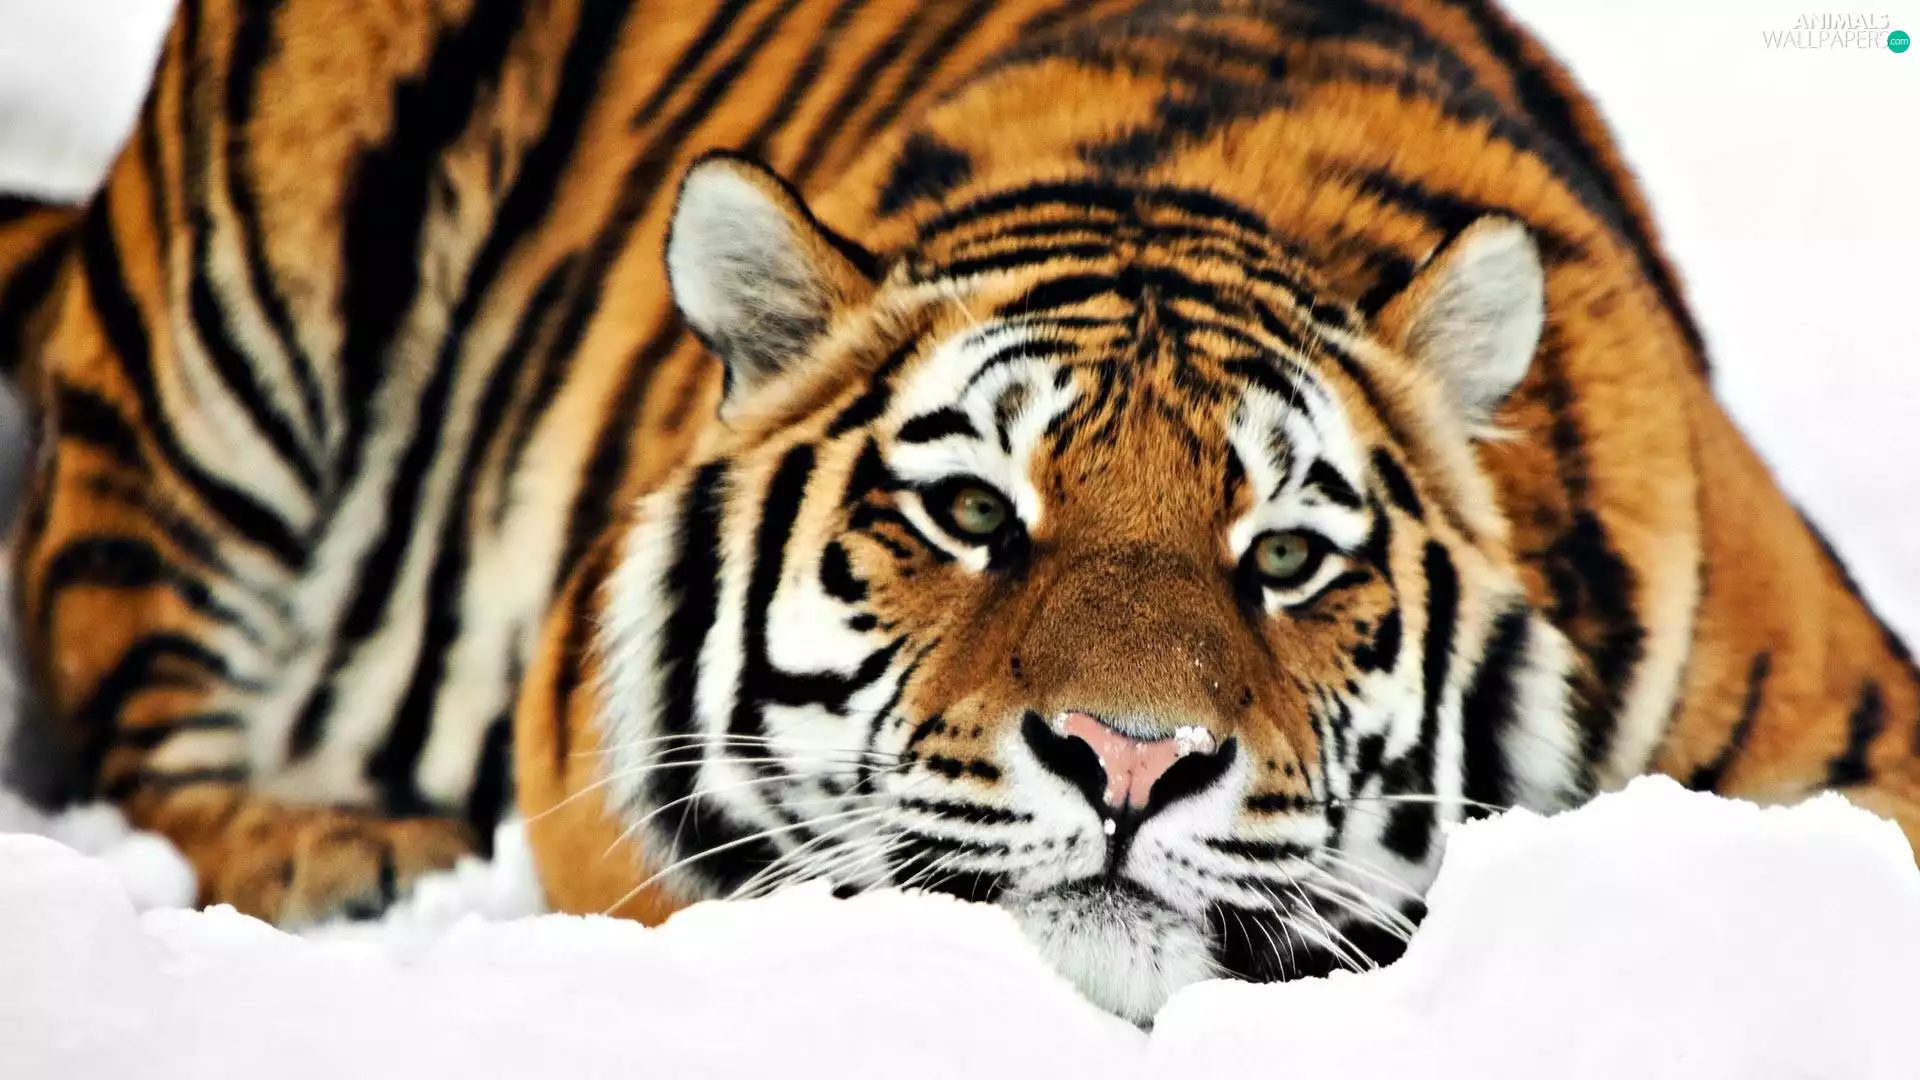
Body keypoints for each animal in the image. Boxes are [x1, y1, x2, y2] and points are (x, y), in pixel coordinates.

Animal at [3, 0, 1917, 1022]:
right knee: (139, 711)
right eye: (974, 511)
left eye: (1290, 555)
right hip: (229, 334)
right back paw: (338, 854)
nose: (1132, 760)